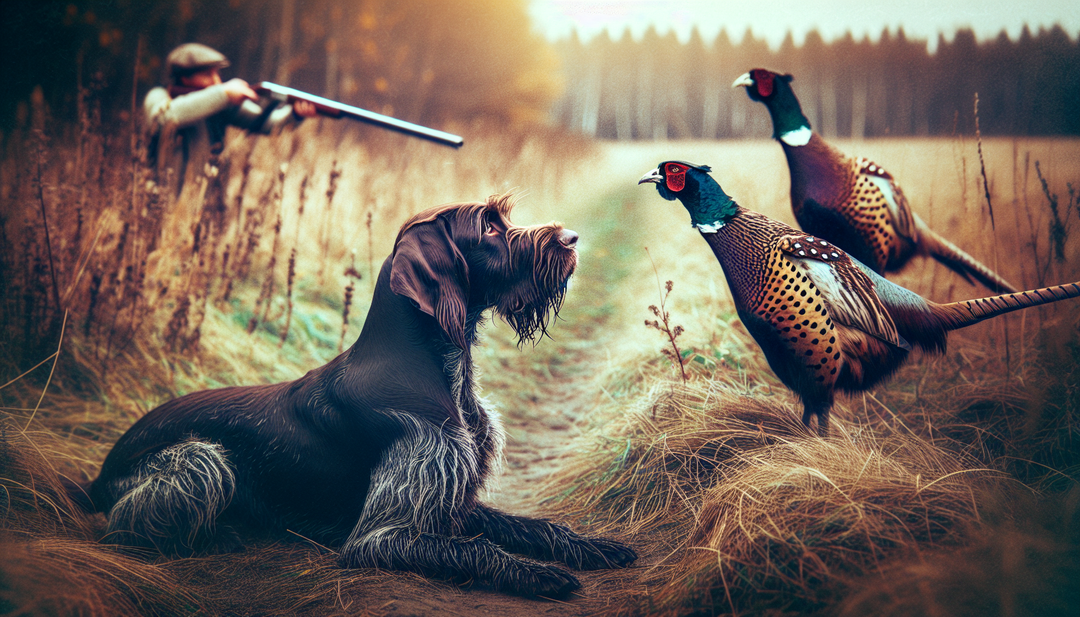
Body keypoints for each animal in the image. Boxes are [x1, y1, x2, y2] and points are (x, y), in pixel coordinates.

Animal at [86, 195, 639, 596]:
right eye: (488, 227)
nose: (571, 238)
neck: (443, 370)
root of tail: (100, 472)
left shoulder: (453, 502)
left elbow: (532, 526)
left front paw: (588, 545)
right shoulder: (382, 536)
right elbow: (479, 549)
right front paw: (535, 573)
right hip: (200, 460)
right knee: (124, 527)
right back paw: (218, 533)